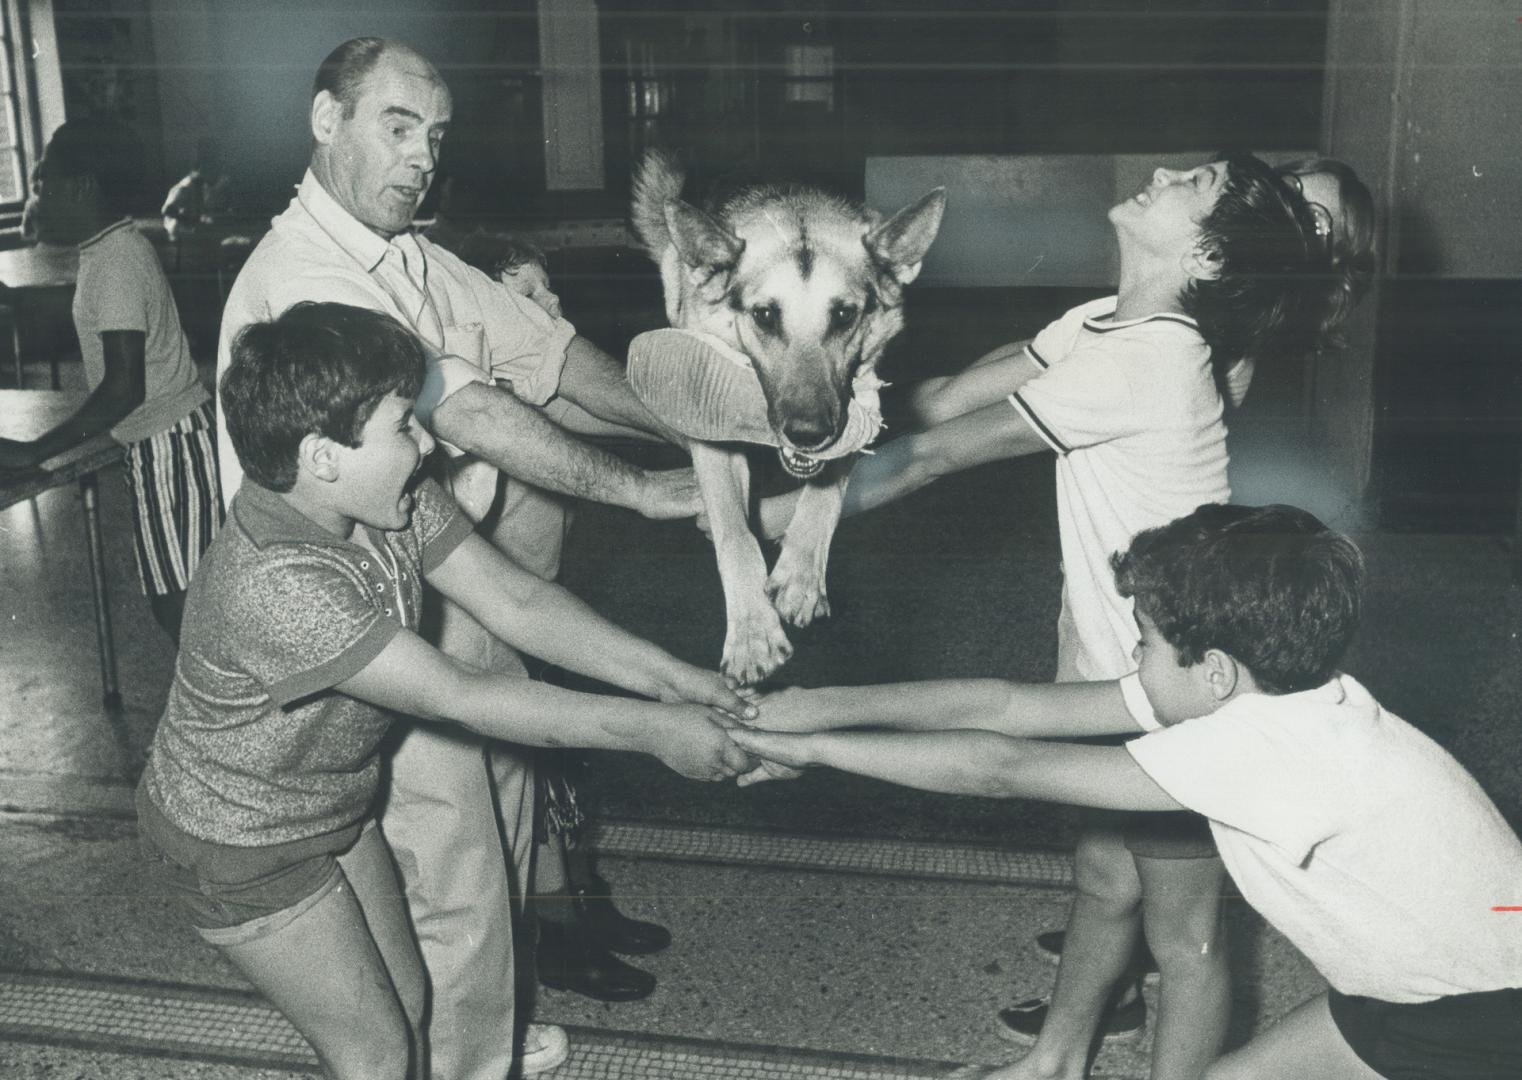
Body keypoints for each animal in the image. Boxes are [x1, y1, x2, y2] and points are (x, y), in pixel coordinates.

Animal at [627, 149, 937, 684]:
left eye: (844, 316)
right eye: (766, 316)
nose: (808, 434)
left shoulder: (852, 408)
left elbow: (824, 496)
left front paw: (800, 575)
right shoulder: (715, 442)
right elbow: (734, 533)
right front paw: (752, 629)